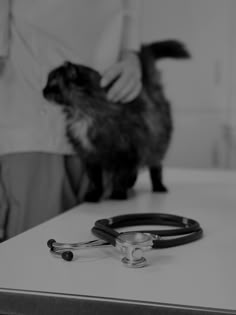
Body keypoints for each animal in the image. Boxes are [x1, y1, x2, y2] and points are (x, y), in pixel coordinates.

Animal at [42, 40, 190, 202]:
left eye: (52, 84)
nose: (43, 91)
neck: (82, 115)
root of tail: (150, 88)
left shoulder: (126, 153)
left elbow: (120, 177)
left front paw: (118, 194)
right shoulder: (90, 156)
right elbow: (95, 180)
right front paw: (94, 195)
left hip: (156, 147)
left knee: (155, 168)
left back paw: (158, 187)